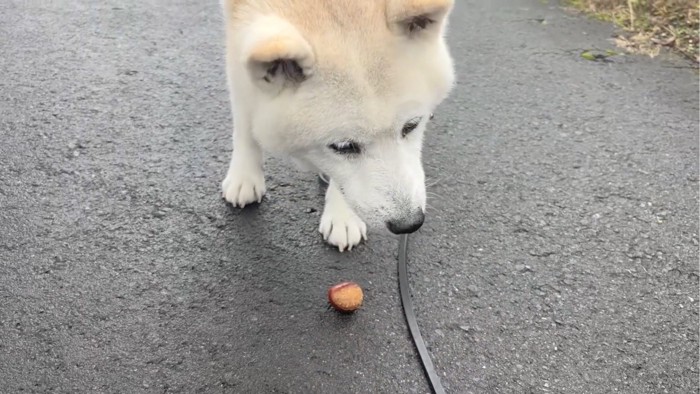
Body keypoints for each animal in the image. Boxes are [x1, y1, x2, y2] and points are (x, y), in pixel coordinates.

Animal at [221, 0, 456, 251]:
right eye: (343, 147)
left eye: (411, 125)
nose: (409, 224)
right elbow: (244, 111)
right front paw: (245, 174)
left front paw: (343, 216)